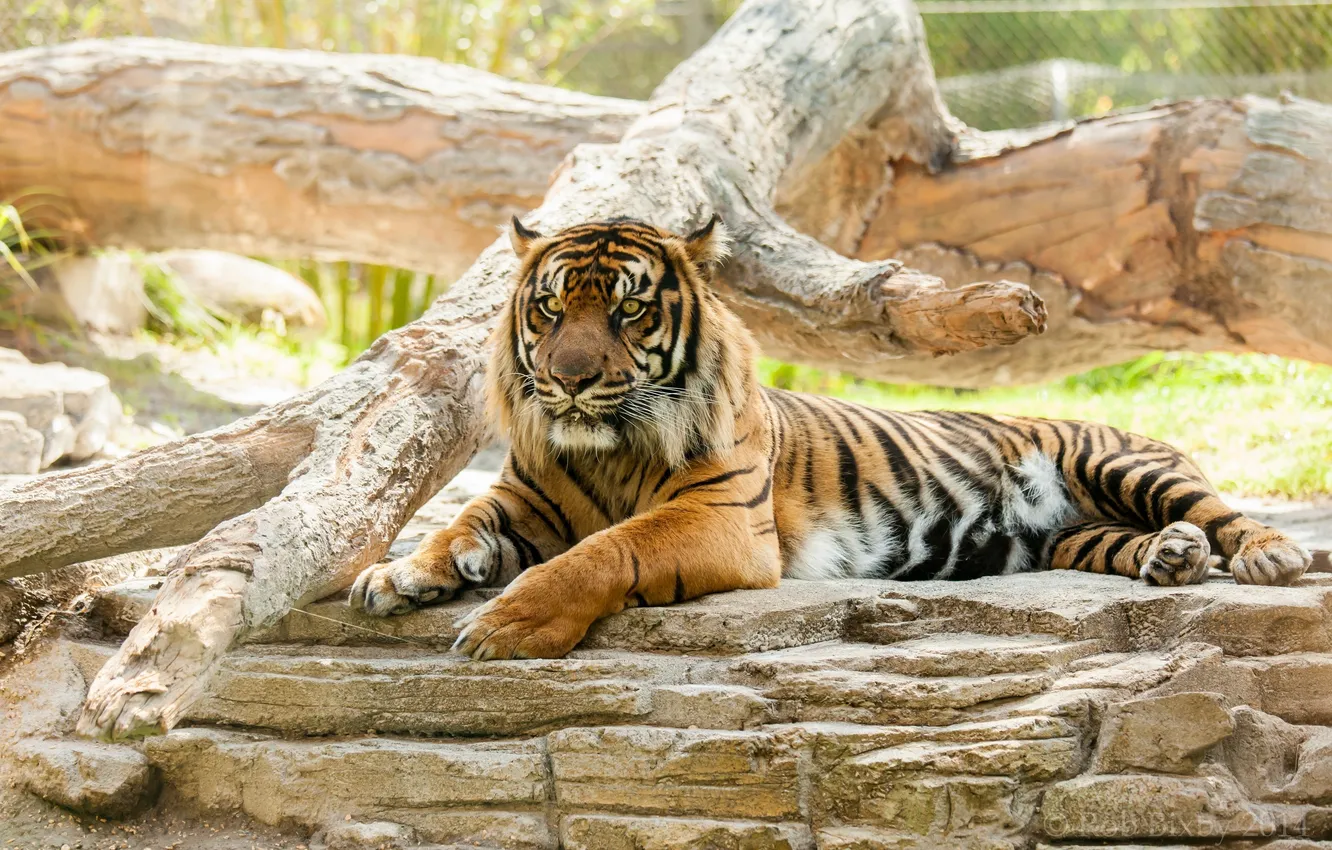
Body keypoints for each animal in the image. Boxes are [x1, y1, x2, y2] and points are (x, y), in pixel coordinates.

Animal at [350, 216, 1312, 661]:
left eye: (626, 309)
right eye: (550, 308)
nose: (572, 379)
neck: (608, 448)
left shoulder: (721, 520)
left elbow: (605, 551)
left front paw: (505, 623)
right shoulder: (523, 499)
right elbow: (457, 524)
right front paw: (400, 575)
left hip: (1119, 460)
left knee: (1221, 512)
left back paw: (1264, 554)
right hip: (1071, 537)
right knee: (1134, 542)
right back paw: (1171, 558)